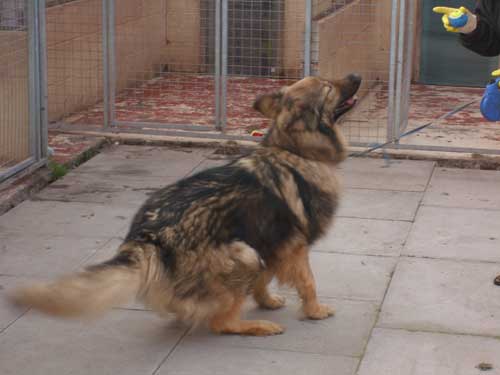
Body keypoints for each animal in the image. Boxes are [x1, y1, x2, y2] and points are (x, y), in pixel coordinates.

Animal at [9, 74, 362, 338]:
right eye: (328, 87)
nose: (357, 75)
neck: (296, 150)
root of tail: (147, 237)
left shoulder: (271, 244)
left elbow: (264, 279)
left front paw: (266, 300)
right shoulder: (293, 248)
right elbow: (308, 282)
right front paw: (314, 311)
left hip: (247, 252)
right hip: (243, 254)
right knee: (221, 323)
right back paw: (256, 325)